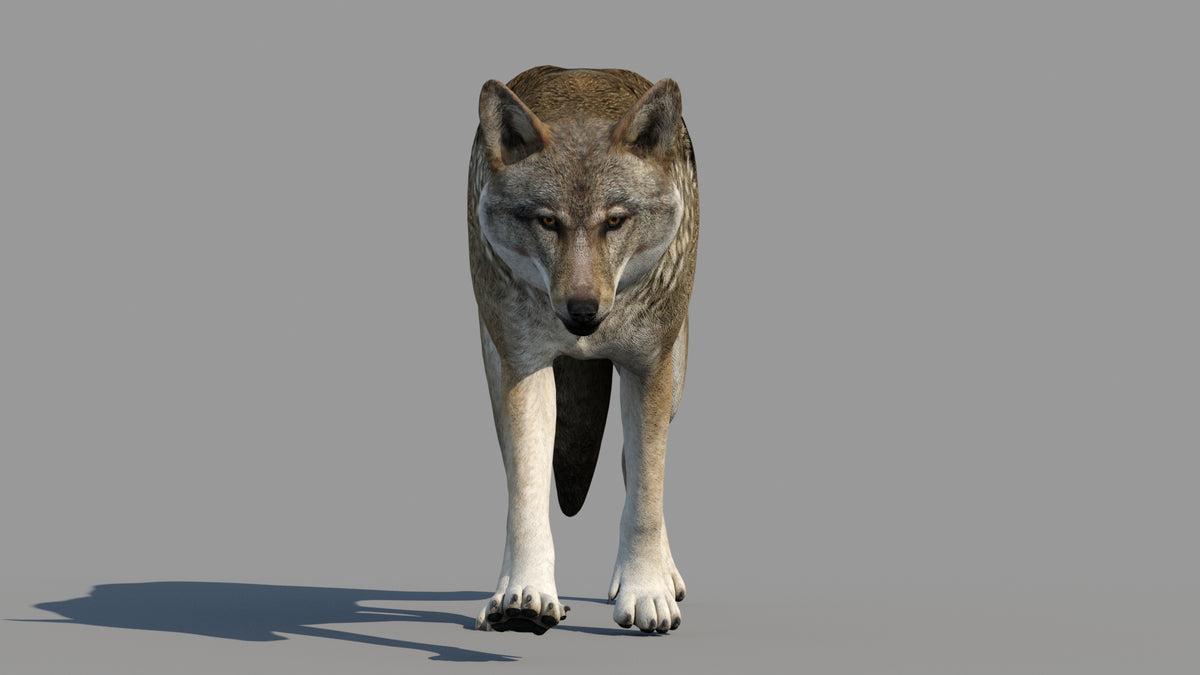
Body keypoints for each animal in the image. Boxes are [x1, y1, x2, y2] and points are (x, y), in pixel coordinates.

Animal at [467, 66, 698, 634]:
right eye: (548, 222)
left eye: (614, 221)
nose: (582, 311)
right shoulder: (524, 365)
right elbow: (527, 490)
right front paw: (525, 594)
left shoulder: (649, 367)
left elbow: (646, 488)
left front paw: (646, 591)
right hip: (494, 363)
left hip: (676, 374)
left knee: (633, 463)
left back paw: (665, 576)